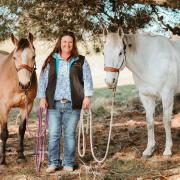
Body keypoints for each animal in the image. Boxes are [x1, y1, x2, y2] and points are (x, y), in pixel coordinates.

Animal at [0, 32, 37, 165]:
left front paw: (20, 155)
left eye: (33, 56)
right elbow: (4, 133)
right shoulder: (3, 107)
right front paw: (3, 160)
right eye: (15, 57)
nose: (25, 84)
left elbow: (22, 129)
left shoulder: (27, 106)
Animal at [102, 27, 180, 158]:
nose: (109, 81)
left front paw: (168, 150)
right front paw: (149, 149)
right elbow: (149, 121)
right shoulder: (146, 97)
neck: (150, 62)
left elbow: (166, 121)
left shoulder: (167, 95)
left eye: (120, 52)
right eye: (103, 53)